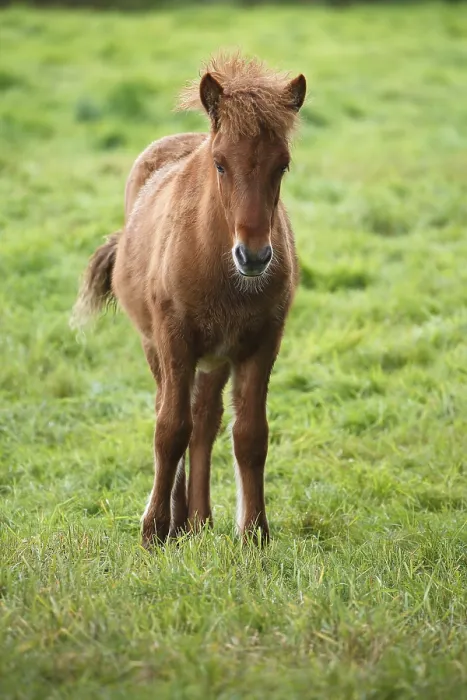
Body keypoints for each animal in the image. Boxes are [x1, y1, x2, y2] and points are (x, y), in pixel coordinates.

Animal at [71, 53, 306, 547]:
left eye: (283, 165)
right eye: (219, 164)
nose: (254, 256)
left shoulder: (262, 343)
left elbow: (249, 435)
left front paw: (254, 534)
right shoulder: (174, 338)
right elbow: (169, 429)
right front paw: (153, 530)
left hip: (215, 358)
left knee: (205, 419)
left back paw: (197, 520)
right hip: (156, 345)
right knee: (176, 412)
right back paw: (178, 523)